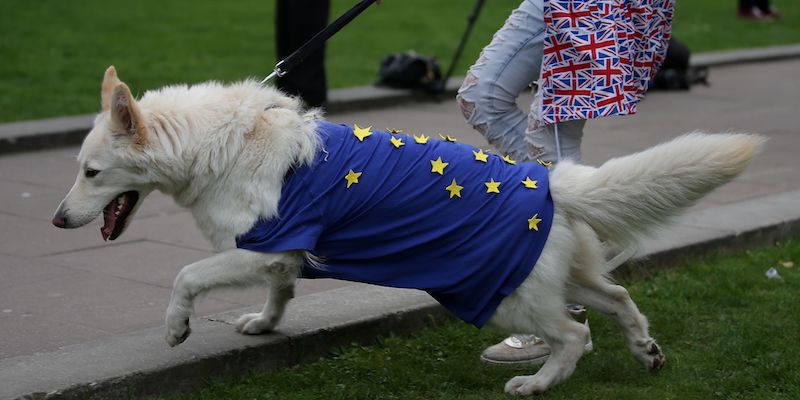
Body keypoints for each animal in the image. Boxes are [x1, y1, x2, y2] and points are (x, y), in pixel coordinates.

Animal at [53, 67, 764, 396]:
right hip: (562, 276)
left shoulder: (262, 249)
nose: (57, 220)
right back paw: (646, 351)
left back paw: (537, 382)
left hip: (503, 297)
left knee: (575, 335)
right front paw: (264, 324)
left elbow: (186, 274)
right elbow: (281, 293)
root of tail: (550, 183)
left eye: (91, 172)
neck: (216, 144)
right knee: (617, 300)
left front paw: (177, 327)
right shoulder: (283, 259)